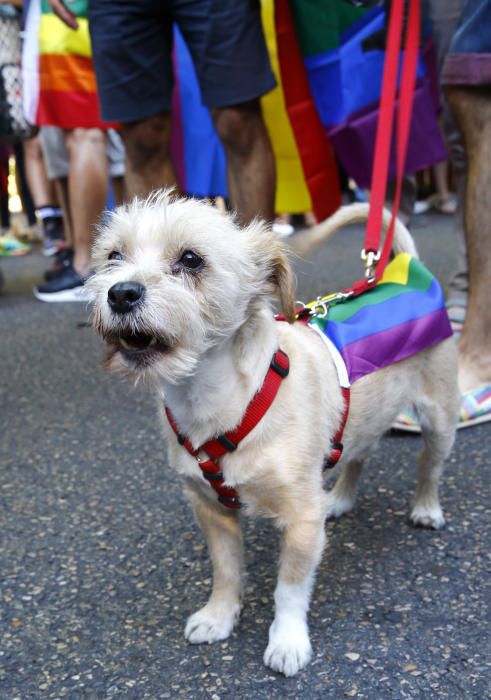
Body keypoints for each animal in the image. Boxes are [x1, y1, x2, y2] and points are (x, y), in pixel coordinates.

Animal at [88, 193, 462, 680]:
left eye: (190, 259)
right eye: (114, 256)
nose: (120, 292)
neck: (217, 401)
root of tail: (407, 268)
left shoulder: (301, 520)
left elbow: (289, 589)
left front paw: (287, 642)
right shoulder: (211, 510)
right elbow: (227, 570)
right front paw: (219, 616)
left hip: (440, 415)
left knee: (429, 465)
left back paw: (426, 507)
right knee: (358, 451)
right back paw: (340, 498)